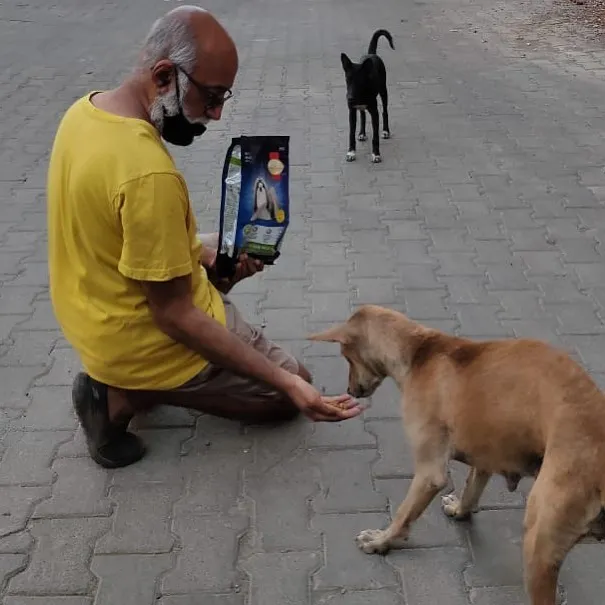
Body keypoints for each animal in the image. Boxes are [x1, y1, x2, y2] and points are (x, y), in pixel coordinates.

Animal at [310, 304, 604, 604]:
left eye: (347, 356)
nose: (350, 390)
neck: (420, 350)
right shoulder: (485, 454)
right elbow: (471, 489)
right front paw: (460, 509)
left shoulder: (430, 472)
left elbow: (404, 513)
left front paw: (382, 540)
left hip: (540, 542)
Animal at [342, 29, 394, 163]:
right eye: (347, 79)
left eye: (359, 81)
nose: (350, 98)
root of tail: (371, 54)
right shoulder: (351, 112)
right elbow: (351, 133)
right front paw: (351, 152)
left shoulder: (374, 112)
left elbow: (375, 137)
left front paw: (376, 154)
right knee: (362, 115)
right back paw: (362, 133)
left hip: (383, 91)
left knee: (385, 111)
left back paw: (386, 131)